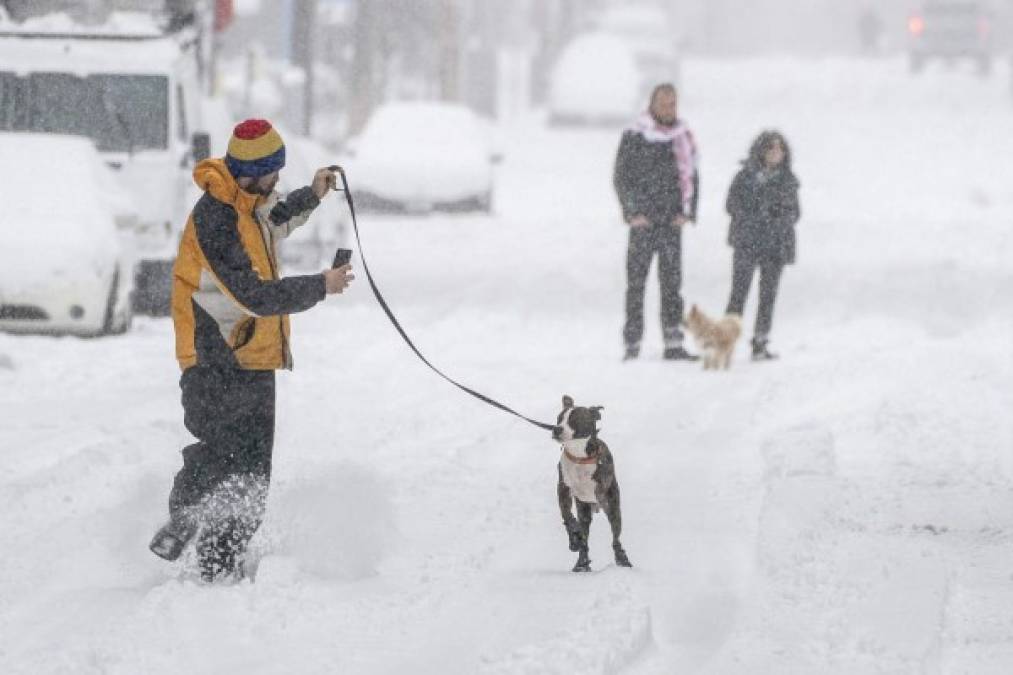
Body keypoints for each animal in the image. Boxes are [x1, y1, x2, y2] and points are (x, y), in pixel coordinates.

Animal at [555, 391, 632, 571]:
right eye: (558, 419)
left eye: (574, 419)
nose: (556, 429)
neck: (578, 456)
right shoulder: (563, 489)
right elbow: (567, 515)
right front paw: (574, 535)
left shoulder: (602, 487)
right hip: (584, 511)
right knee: (584, 540)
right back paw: (581, 562)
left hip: (614, 509)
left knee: (616, 538)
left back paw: (622, 559)